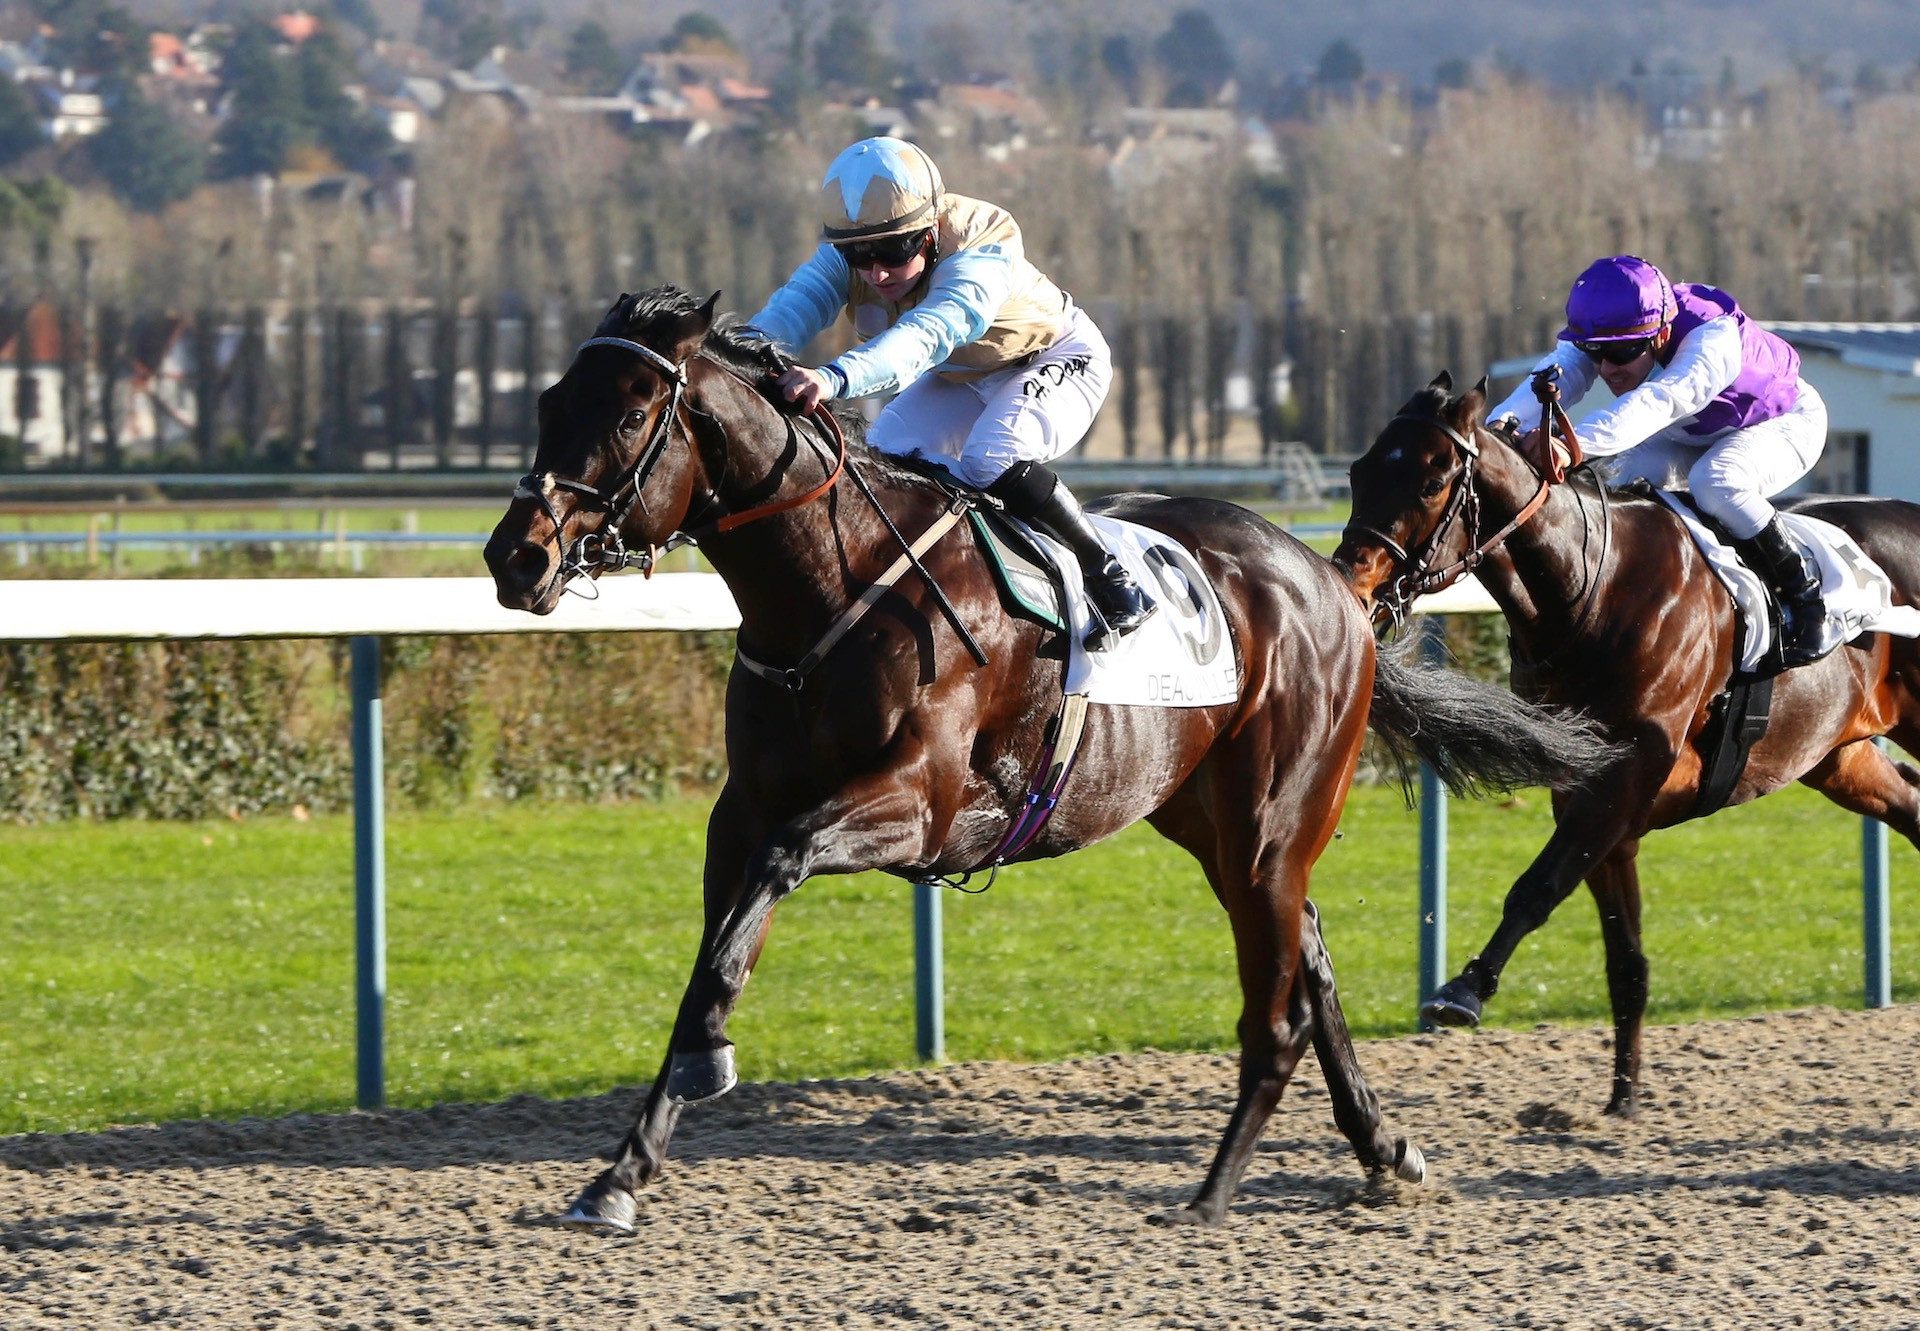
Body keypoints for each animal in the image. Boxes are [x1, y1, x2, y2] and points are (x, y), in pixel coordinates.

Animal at [483, 290, 1605, 1221]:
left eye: (632, 414)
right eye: (547, 400)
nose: (514, 555)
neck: (835, 584)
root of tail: (1334, 584)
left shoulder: (919, 806)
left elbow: (772, 877)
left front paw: (709, 1058)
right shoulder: (743, 810)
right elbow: (716, 948)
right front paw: (620, 1171)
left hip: (1268, 822)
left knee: (1284, 992)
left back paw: (1223, 1187)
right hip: (1212, 816)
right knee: (1313, 960)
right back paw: (1382, 1148)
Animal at [1328, 370, 1920, 1113]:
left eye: (1434, 479)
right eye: (1359, 469)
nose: (1354, 580)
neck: (1592, 590)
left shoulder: (1624, 778)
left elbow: (1536, 887)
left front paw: (1463, 990)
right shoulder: (1592, 791)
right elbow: (1623, 954)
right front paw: (1624, 1095)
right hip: (1842, 758)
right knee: (1912, 807)